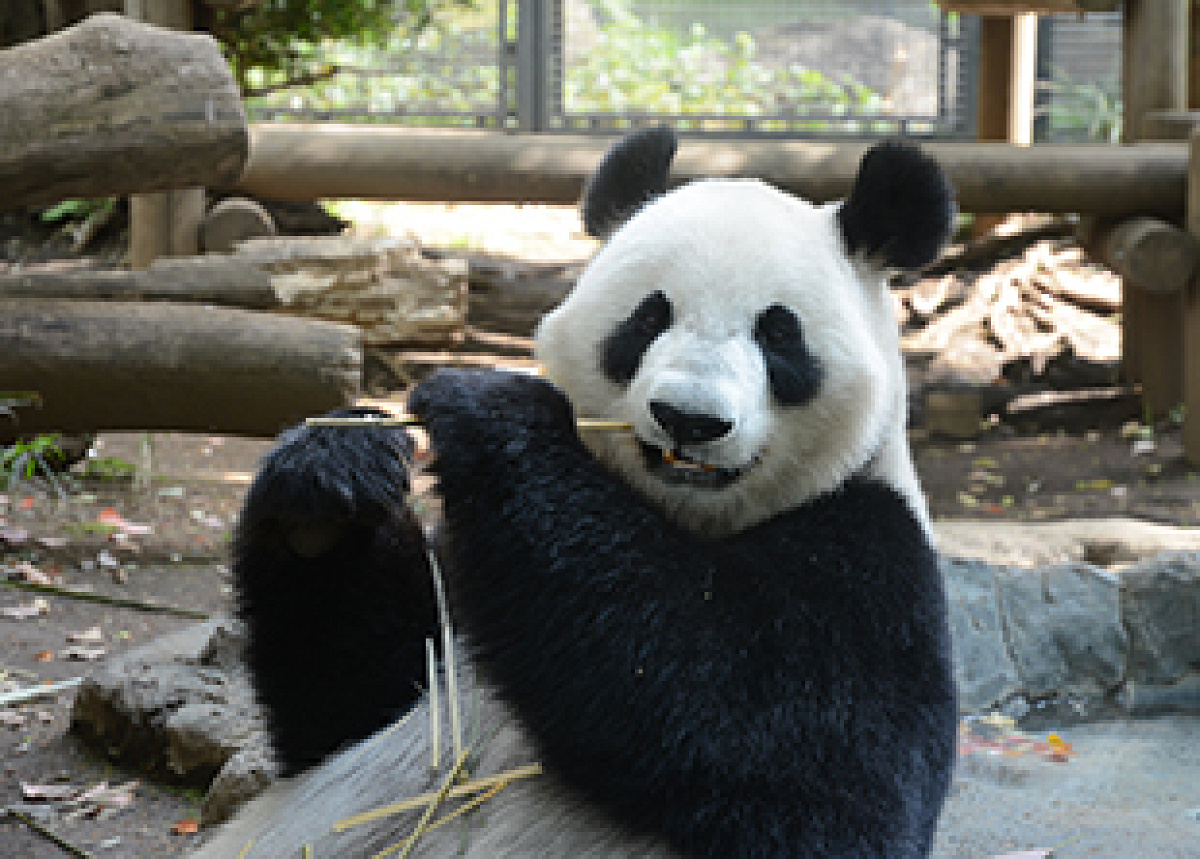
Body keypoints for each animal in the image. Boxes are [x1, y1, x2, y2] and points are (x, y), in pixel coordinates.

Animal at [199, 128, 964, 858]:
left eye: (779, 333)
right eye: (649, 317)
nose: (688, 419)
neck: (684, 517)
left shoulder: (872, 562)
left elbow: (779, 746)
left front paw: (491, 410)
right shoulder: (464, 590)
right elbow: (348, 700)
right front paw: (331, 476)